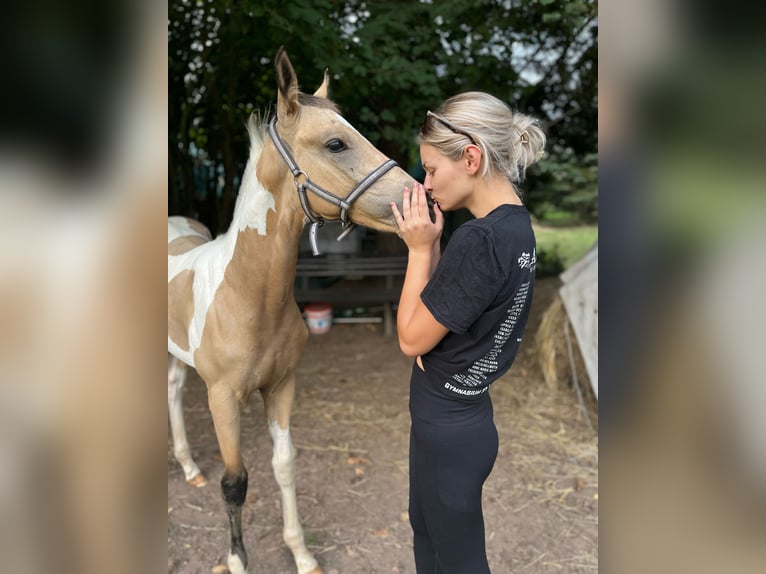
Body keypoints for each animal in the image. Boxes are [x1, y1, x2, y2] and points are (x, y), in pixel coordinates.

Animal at [166, 49, 412, 574]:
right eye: (336, 143)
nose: (418, 197)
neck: (249, 298)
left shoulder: (281, 386)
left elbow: (284, 465)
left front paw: (302, 554)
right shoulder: (222, 399)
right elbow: (235, 482)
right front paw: (237, 559)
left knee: (174, 391)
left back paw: (190, 467)